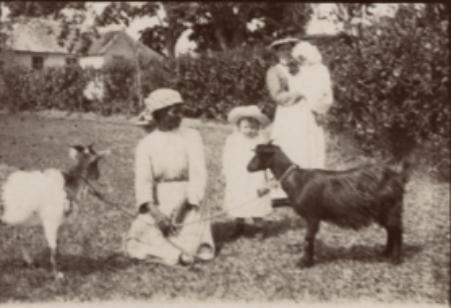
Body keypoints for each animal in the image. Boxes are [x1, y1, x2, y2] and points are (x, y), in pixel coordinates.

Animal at [0, 144, 110, 280]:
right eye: (95, 162)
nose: (98, 175)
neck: (68, 186)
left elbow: (56, 245)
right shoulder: (50, 221)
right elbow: (53, 247)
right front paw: (56, 274)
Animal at [249, 142, 412, 268]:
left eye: (257, 155)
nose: (247, 167)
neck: (297, 180)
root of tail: (399, 177)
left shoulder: (312, 215)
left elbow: (308, 238)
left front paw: (304, 262)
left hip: (391, 208)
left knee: (396, 231)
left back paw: (395, 259)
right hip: (383, 211)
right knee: (390, 230)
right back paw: (385, 253)